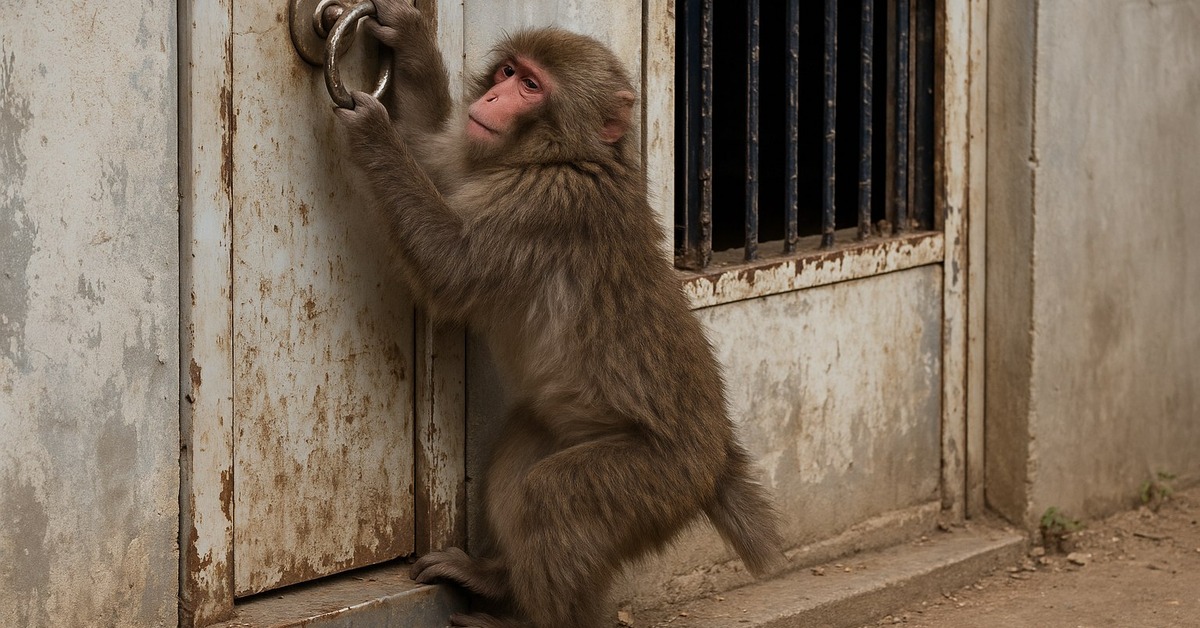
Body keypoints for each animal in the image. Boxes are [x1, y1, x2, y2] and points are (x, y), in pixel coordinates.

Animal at [331, 3, 786, 627]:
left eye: (530, 86)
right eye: (507, 72)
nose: (494, 97)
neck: (565, 155)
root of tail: (717, 459)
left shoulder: (547, 206)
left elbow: (449, 268)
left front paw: (373, 132)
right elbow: (434, 147)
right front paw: (411, 39)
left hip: (655, 478)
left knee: (551, 498)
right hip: (571, 435)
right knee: (518, 465)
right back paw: (494, 578)